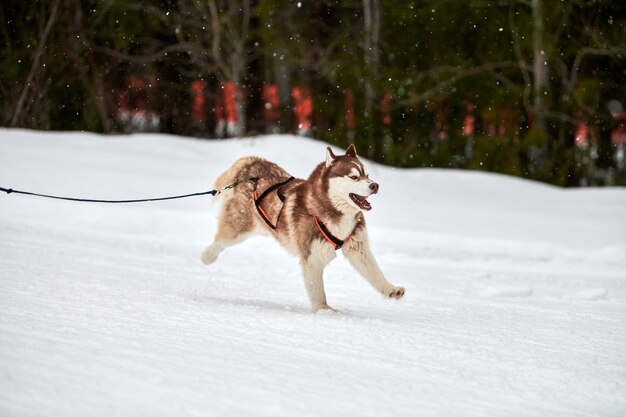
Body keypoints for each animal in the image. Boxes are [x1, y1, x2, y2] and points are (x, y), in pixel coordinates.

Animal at [200, 145, 404, 310]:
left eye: (367, 175)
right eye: (354, 177)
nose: (375, 185)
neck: (333, 211)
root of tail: (253, 161)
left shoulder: (357, 247)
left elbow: (375, 273)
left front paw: (390, 289)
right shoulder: (312, 256)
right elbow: (318, 290)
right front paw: (324, 310)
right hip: (239, 226)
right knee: (221, 240)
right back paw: (207, 256)